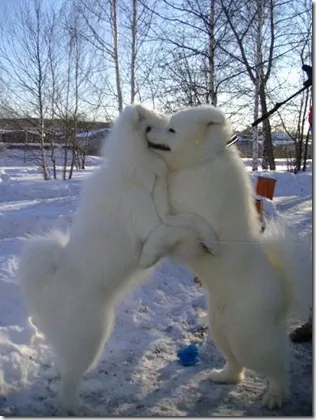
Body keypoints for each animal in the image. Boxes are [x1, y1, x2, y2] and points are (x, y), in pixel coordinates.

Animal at [18, 104, 218, 414]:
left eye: (167, 125)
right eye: (152, 127)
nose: (165, 132)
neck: (134, 168)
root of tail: (48, 286)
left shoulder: (164, 213)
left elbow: (190, 218)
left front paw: (208, 237)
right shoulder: (153, 222)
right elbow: (185, 223)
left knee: (65, 370)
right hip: (91, 338)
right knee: (68, 385)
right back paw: (79, 409)